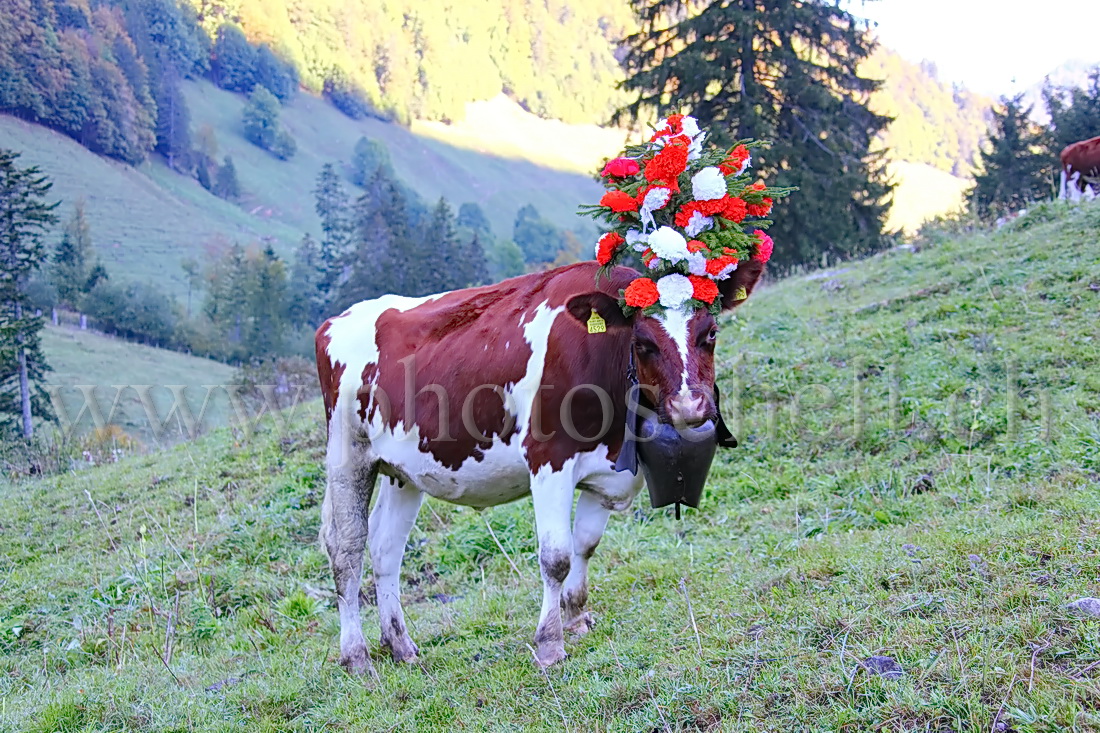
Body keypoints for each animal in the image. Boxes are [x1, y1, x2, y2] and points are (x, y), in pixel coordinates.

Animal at [314, 258, 765, 673]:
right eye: (643, 341)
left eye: (710, 333)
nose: (690, 407)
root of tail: (336, 320)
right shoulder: (549, 459)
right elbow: (557, 556)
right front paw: (550, 643)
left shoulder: (606, 474)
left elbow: (586, 544)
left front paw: (577, 618)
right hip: (347, 453)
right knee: (347, 550)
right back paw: (357, 658)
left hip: (403, 470)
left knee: (385, 548)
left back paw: (401, 645)